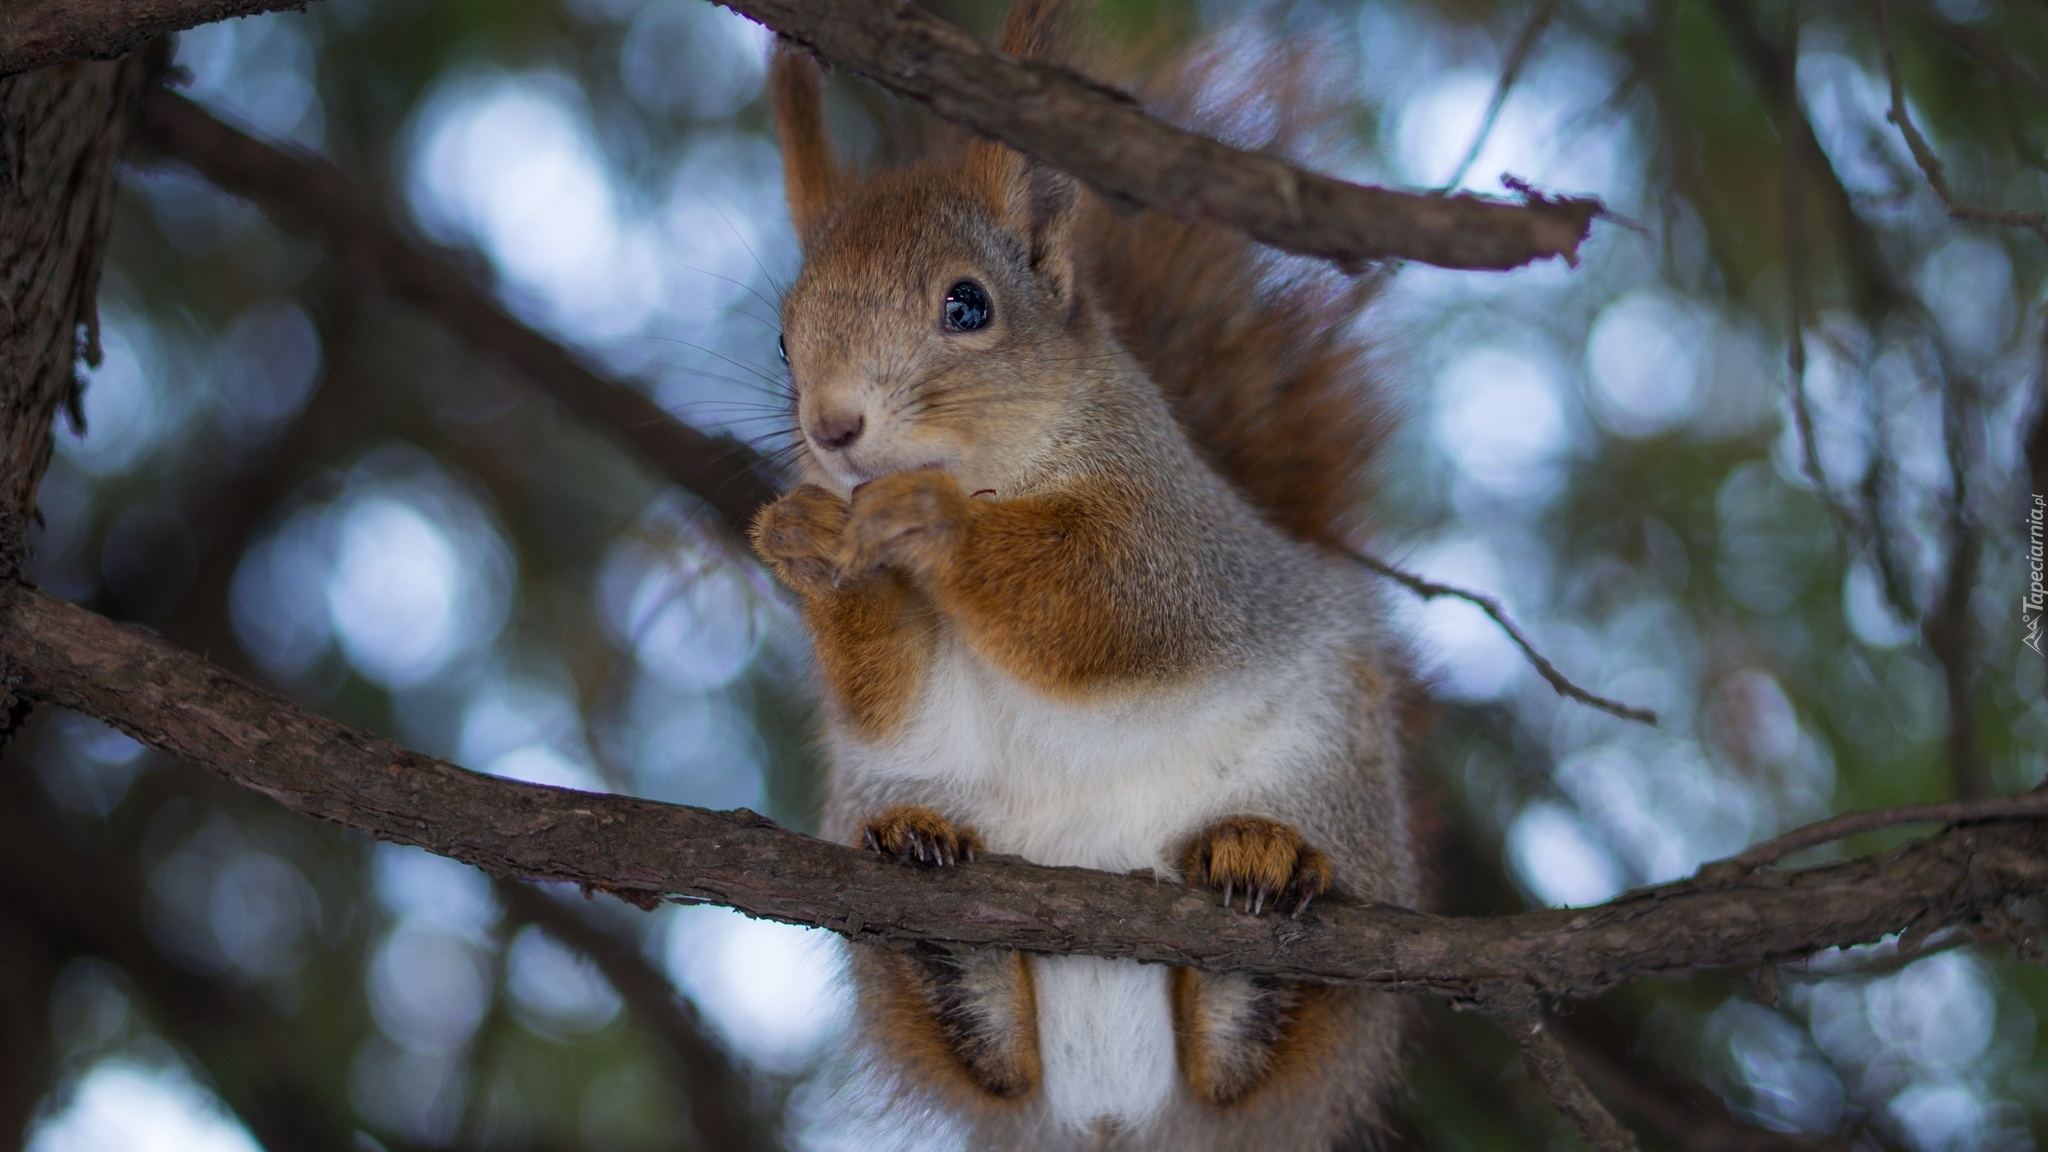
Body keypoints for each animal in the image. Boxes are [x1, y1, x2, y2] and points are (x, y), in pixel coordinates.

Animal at [753, 4, 1425, 1139]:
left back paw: (1260, 875)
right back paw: (943, 916)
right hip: (888, 799)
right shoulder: (892, 702)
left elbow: (1112, 607)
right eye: (783, 337)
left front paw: (931, 522)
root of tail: (1119, 1112)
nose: (831, 430)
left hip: (1331, 771)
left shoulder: (1174, 537)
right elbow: (886, 691)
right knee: (995, 1055)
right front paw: (805, 541)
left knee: (1252, 1052)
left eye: (968, 306)